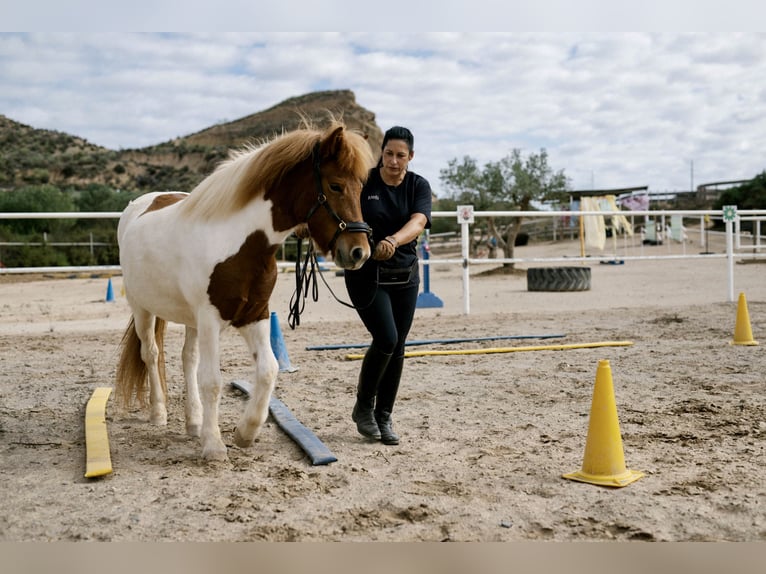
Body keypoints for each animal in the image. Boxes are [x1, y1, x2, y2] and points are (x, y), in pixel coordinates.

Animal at [115, 120, 374, 461]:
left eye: (360, 188)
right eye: (335, 186)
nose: (359, 252)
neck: (237, 243)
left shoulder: (256, 315)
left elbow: (268, 370)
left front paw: (245, 432)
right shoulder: (211, 319)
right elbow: (212, 380)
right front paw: (214, 445)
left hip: (190, 319)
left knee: (188, 358)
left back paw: (194, 421)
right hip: (142, 308)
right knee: (152, 353)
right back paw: (159, 413)